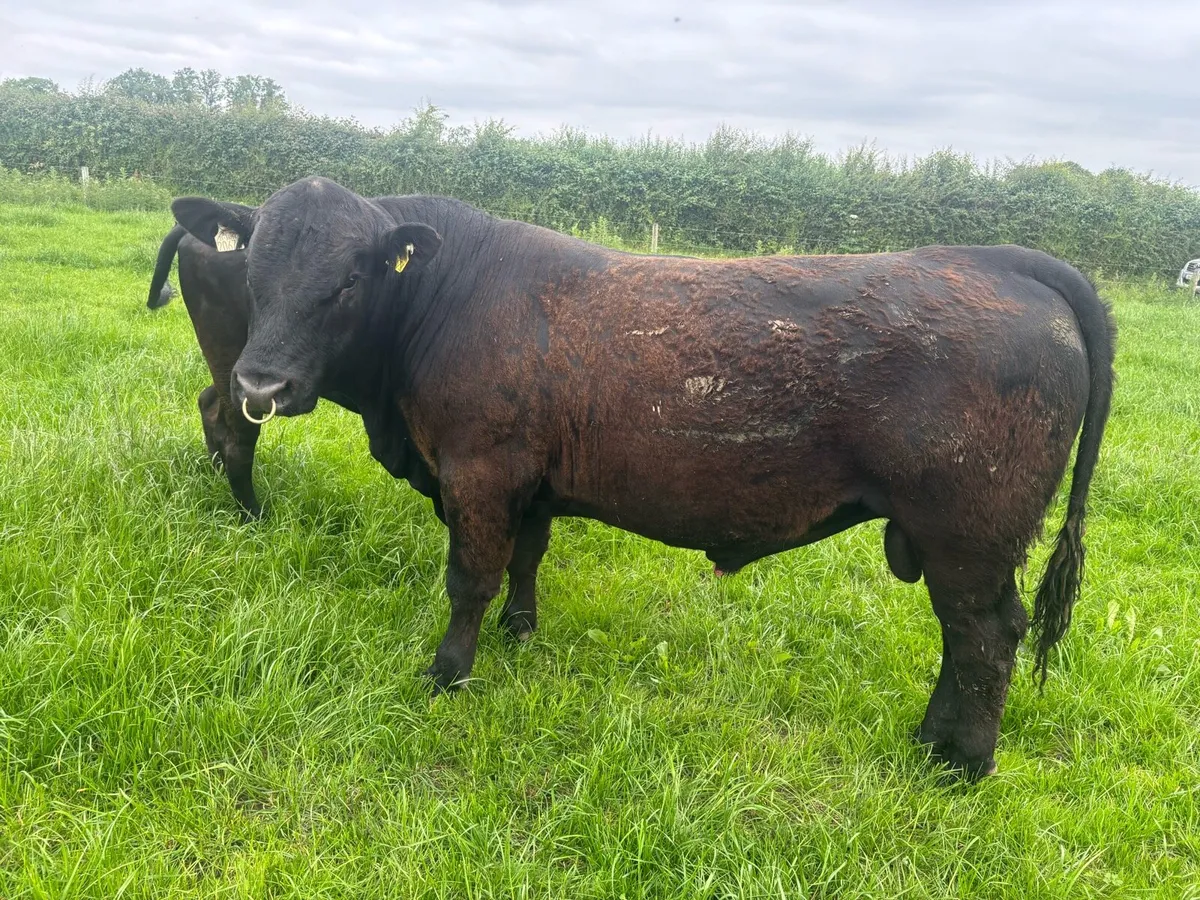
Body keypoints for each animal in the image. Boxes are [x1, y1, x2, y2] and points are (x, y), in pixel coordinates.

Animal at [168, 176, 1115, 779]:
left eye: (349, 280)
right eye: (252, 272)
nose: (261, 387)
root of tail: (1007, 260)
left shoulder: (479, 471)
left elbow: (469, 578)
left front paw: (447, 674)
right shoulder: (530, 482)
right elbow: (525, 561)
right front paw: (520, 635)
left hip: (968, 534)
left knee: (985, 636)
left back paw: (957, 761)